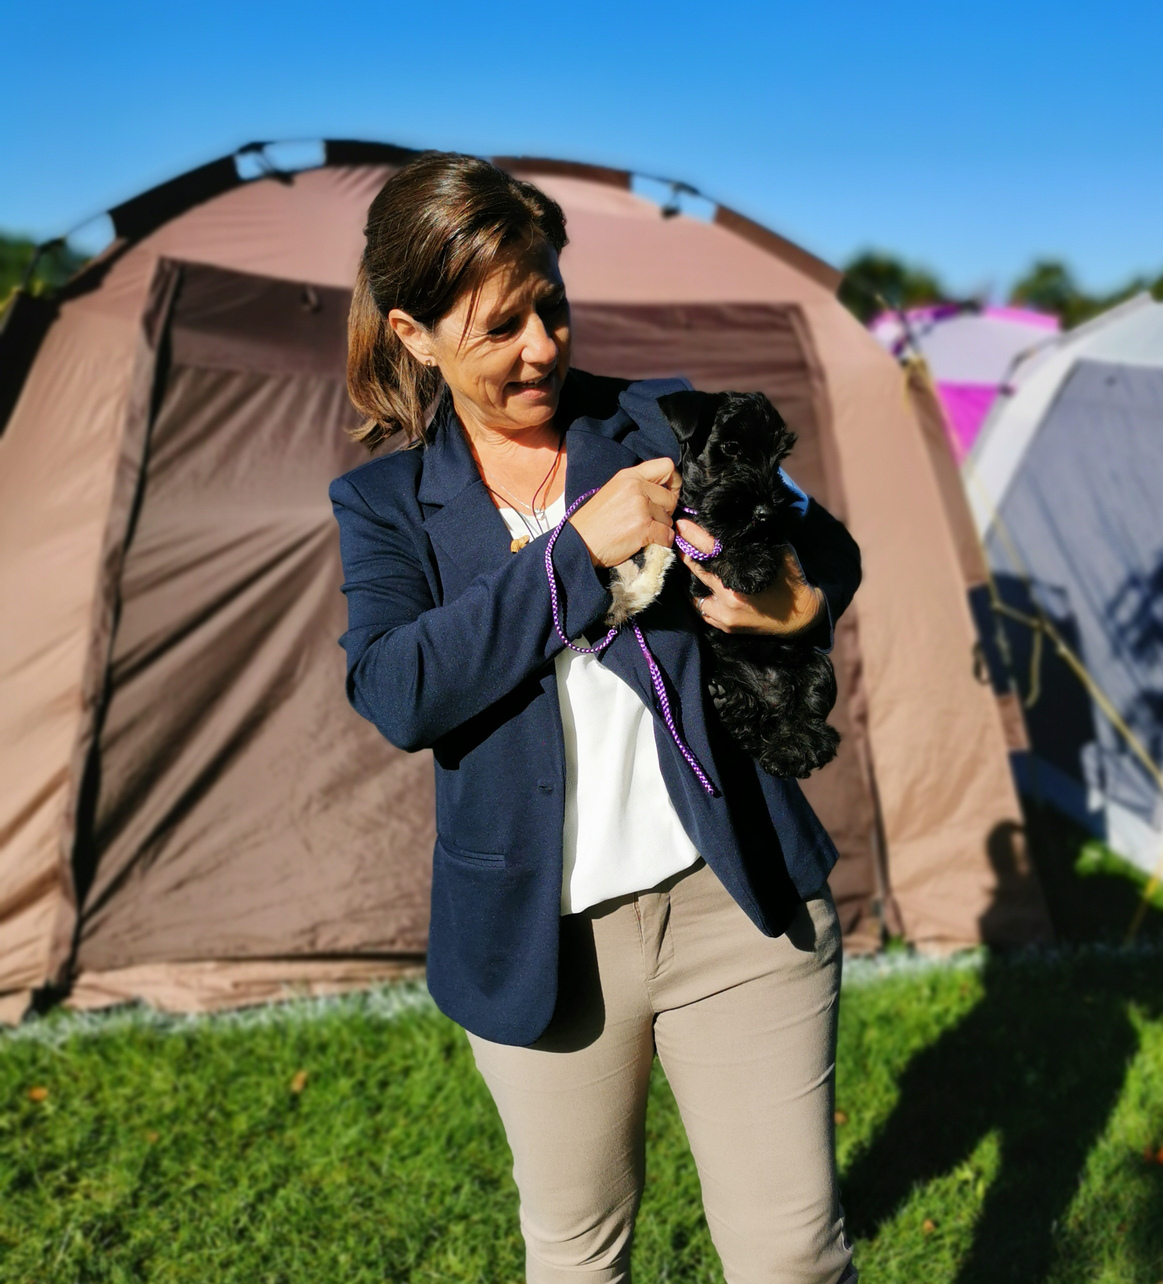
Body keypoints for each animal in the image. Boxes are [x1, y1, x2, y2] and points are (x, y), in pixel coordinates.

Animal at [652, 385, 831, 775]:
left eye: (779, 458)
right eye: (731, 447)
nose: (764, 512)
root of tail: (771, 693)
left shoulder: (781, 535)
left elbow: (747, 540)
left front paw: (749, 561)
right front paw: (745, 562)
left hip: (815, 664)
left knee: (812, 723)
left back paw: (789, 750)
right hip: (722, 668)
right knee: (751, 721)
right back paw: (730, 704)